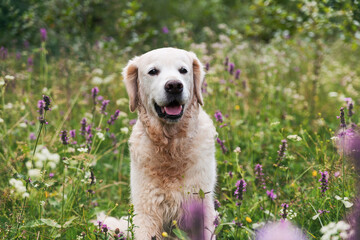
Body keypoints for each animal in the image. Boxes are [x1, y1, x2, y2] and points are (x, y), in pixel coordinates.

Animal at [122, 47, 217, 239]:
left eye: (183, 70)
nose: (174, 86)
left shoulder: (201, 203)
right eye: (153, 71)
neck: (172, 146)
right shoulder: (146, 210)